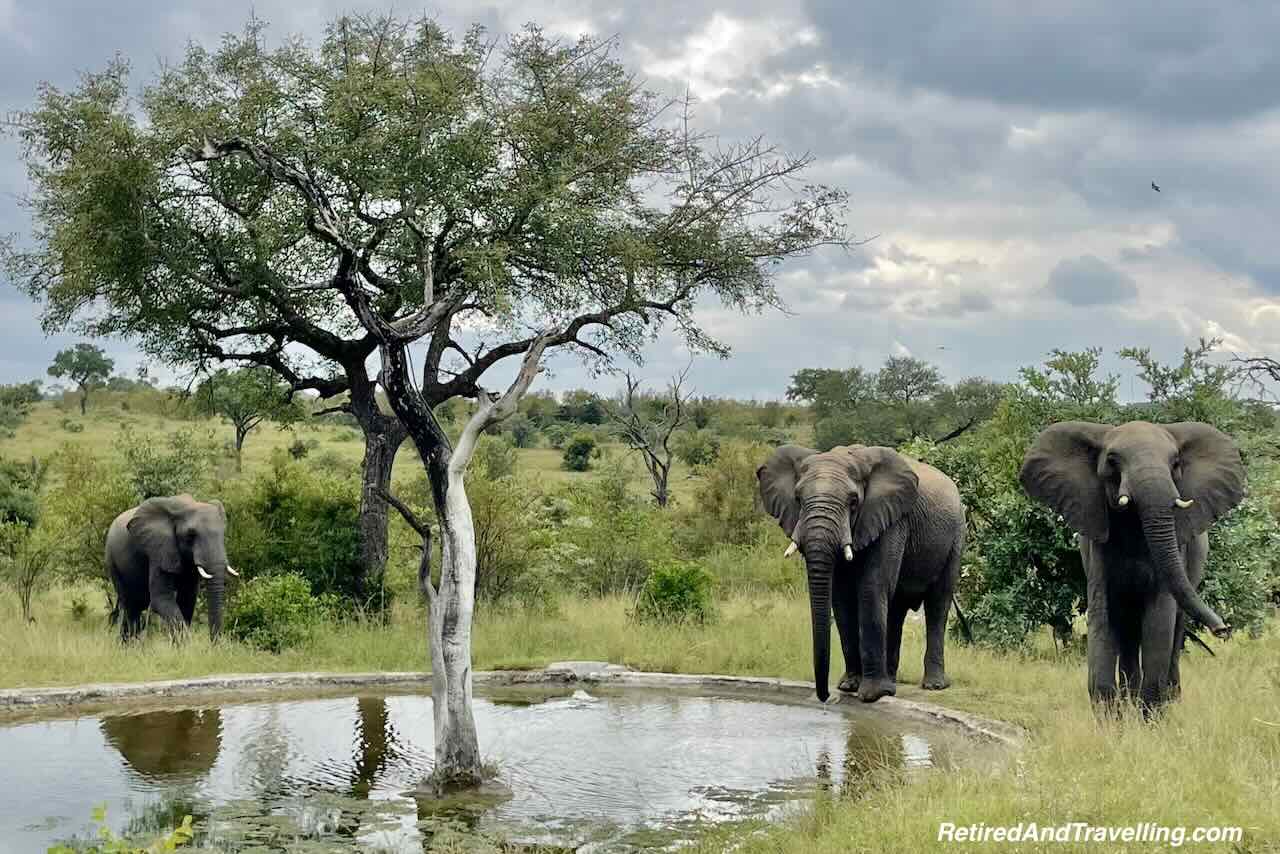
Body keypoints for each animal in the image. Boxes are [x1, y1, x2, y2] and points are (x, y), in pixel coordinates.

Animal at [106, 494, 239, 640]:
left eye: (223, 532)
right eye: (191, 535)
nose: (214, 643)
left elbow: (187, 599)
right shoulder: (158, 551)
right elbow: (162, 599)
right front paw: (186, 644)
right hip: (113, 563)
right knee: (129, 606)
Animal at [757, 445, 962, 706]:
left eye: (853, 502)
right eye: (798, 499)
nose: (824, 697)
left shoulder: (891, 521)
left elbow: (872, 588)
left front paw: (872, 695)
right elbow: (841, 597)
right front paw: (849, 686)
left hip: (956, 538)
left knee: (937, 603)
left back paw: (933, 685)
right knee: (896, 608)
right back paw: (891, 682)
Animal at [1013, 419, 1244, 706]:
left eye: (1176, 463)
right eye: (1112, 460)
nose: (1224, 629)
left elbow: (1160, 618)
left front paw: (1151, 712)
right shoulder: (1098, 549)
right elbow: (1103, 613)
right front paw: (1114, 712)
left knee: (1175, 629)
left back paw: (1169, 699)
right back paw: (1130, 697)